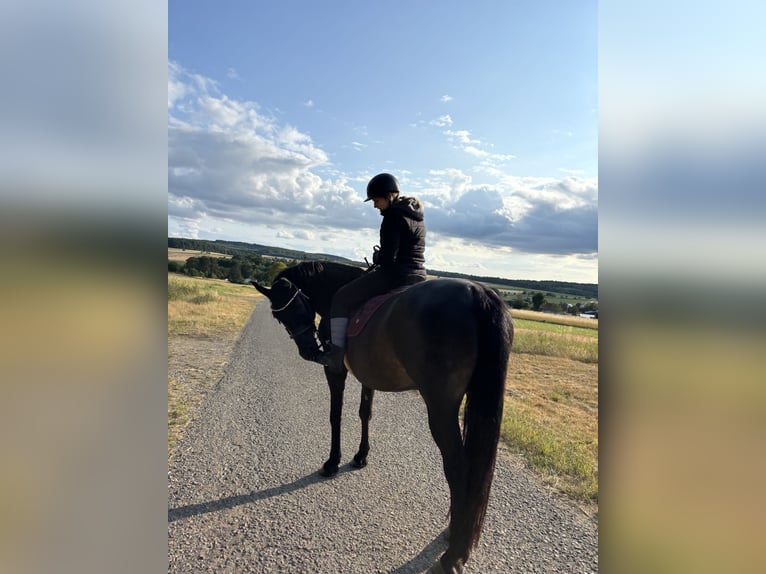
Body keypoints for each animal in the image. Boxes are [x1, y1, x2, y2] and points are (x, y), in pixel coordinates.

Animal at [253, 261, 513, 574]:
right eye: (278, 316)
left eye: (288, 311)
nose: (308, 351)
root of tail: (478, 293)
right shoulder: (369, 376)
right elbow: (365, 413)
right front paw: (360, 456)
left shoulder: (336, 370)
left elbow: (335, 414)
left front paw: (332, 461)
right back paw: (456, 532)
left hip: (440, 407)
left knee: (458, 468)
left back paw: (455, 553)